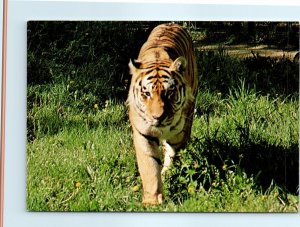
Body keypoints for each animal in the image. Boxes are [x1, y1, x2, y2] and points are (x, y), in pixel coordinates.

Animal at [127, 22, 199, 205]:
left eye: (169, 93)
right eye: (146, 93)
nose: (157, 117)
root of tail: (171, 23)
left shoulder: (179, 134)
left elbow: (172, 155)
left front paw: (167, 175)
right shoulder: (143, 133)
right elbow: (149, 166)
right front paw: (152, 201)